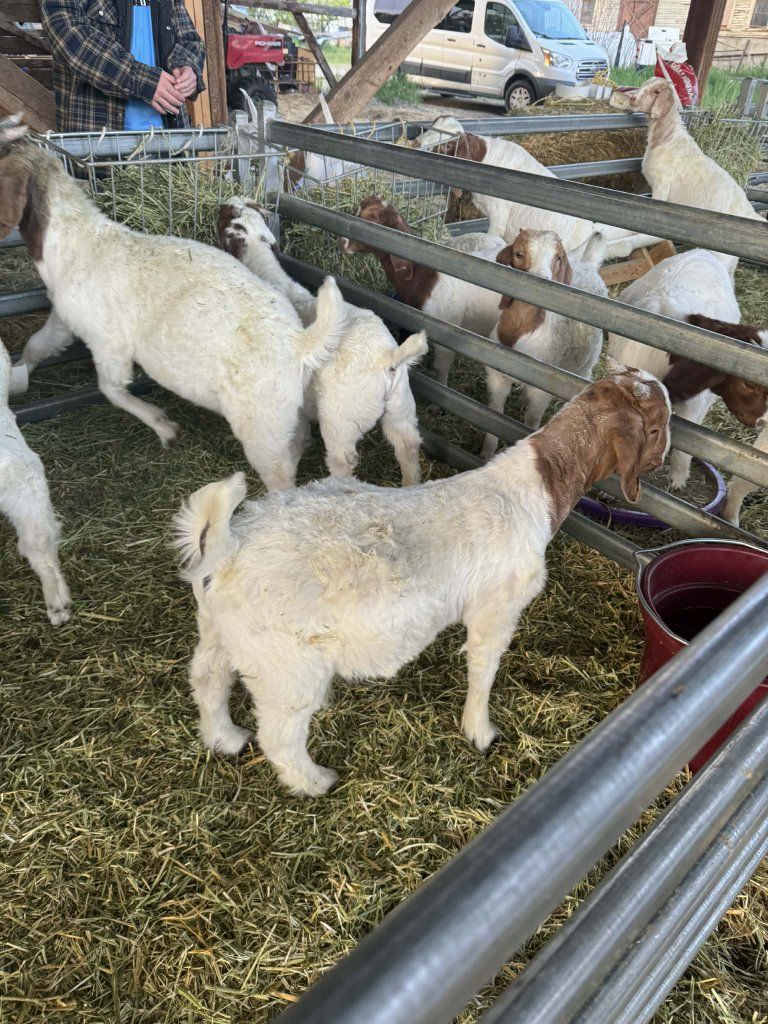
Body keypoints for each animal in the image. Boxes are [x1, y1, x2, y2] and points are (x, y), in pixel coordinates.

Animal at [0, 119, 346, 493]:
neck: (72, 242)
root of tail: (301, 343)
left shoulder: (109, 342)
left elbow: (110, 389)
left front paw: (165, 427)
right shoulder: (64, 317)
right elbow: (37, 345)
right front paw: (18, 374)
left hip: (262, 426)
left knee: (281, 475)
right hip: (285, 414)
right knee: (298, 440)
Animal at [174, 366, 671, 796]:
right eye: (657, 428)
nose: (661, 461)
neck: (537, 487)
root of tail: (226, 544)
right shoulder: (497, 606)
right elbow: (484, 665)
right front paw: (480, 731)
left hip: (221, 631)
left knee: (207, 678)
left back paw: (224, 737)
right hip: (285, 664)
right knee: (279, 733)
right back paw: (315, 781)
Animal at [218, 198, 427, 485]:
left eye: (228, 217)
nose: (224, 203)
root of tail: (387, 358)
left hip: (342, 419)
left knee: (343, 459)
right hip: (401, 406)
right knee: (407, 444)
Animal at [416, 116, 659, 258]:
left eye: (447, 145)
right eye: (430, 127)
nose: (415, 144)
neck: (485, 158)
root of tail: (591, 228)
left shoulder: (498, 214)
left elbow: (492, 235)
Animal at [480, 229, 607, 461]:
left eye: (558, 257)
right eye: (519, 253)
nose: (542, 282)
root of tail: (588, 266)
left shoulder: (542, 387)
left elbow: (531, 421)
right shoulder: (497, 375)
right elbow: (492, 414)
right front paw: (486, 455)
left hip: (587, 363)